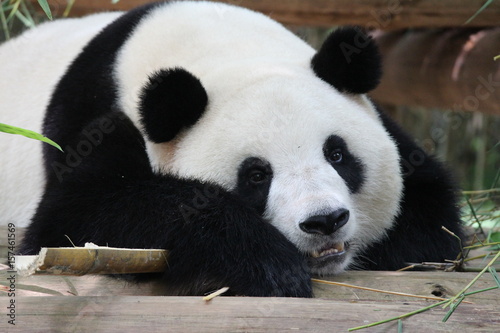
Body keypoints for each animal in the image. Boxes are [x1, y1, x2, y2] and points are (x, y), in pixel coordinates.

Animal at [0, 0, 460, 296]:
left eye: (337, 154)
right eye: (256, 175)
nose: (325, 221)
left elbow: (432, 217)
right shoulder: (95, 119)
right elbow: (75, 216)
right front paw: (267, 265)